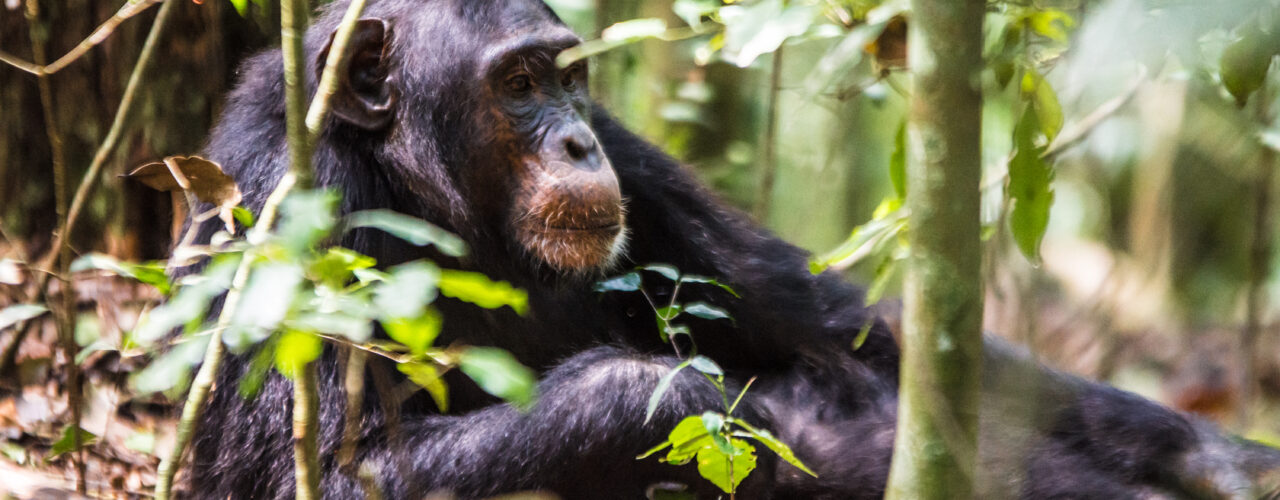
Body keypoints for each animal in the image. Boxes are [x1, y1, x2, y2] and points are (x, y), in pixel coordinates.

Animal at [183, 0, 1280, 498]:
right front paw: (666, 395)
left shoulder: (635, 157)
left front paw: (1218, 455)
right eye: (516, 86)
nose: (573, 141)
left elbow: (836, 324)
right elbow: (323, 469)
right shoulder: (285, 206)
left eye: (567, 78)